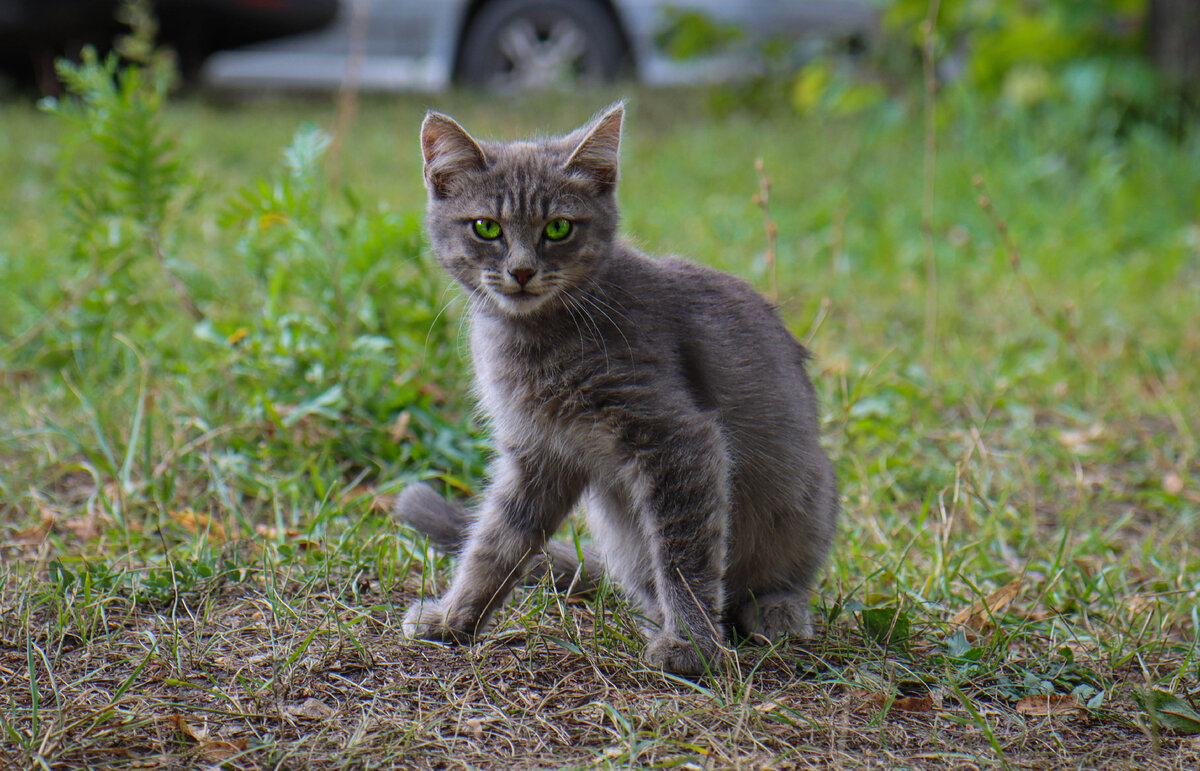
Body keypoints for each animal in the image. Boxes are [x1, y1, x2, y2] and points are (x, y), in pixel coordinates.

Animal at [398, 103, 840, 672]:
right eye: (486, 227)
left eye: (558, 227)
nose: (522, 271)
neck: (536, 340)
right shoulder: (538, 454)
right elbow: (497, 541)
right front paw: (454, 618)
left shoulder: (678, 438)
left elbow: (684, 553)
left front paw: (692, 645)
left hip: (807, 494)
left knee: (780, 578)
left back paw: (774, 611)